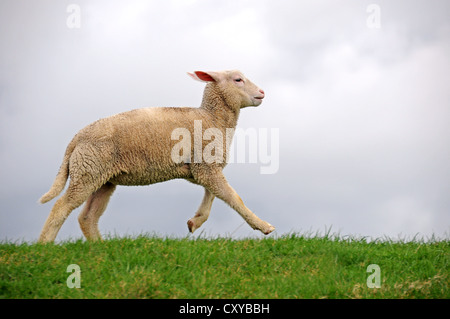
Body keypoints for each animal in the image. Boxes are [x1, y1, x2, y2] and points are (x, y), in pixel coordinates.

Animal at [38, 70, 276, 245]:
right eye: (238, 79)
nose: (262, 92)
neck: (212, 118)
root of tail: (76, 139)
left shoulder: (204, 167)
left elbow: (214, 195)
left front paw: (195, 222)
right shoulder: (205, 166)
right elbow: (233, 197)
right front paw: (264, 227)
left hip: (102, 178)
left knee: (87, 217)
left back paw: (100, 247)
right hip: (88, 170)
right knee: (61, 206)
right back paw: (44, 246)